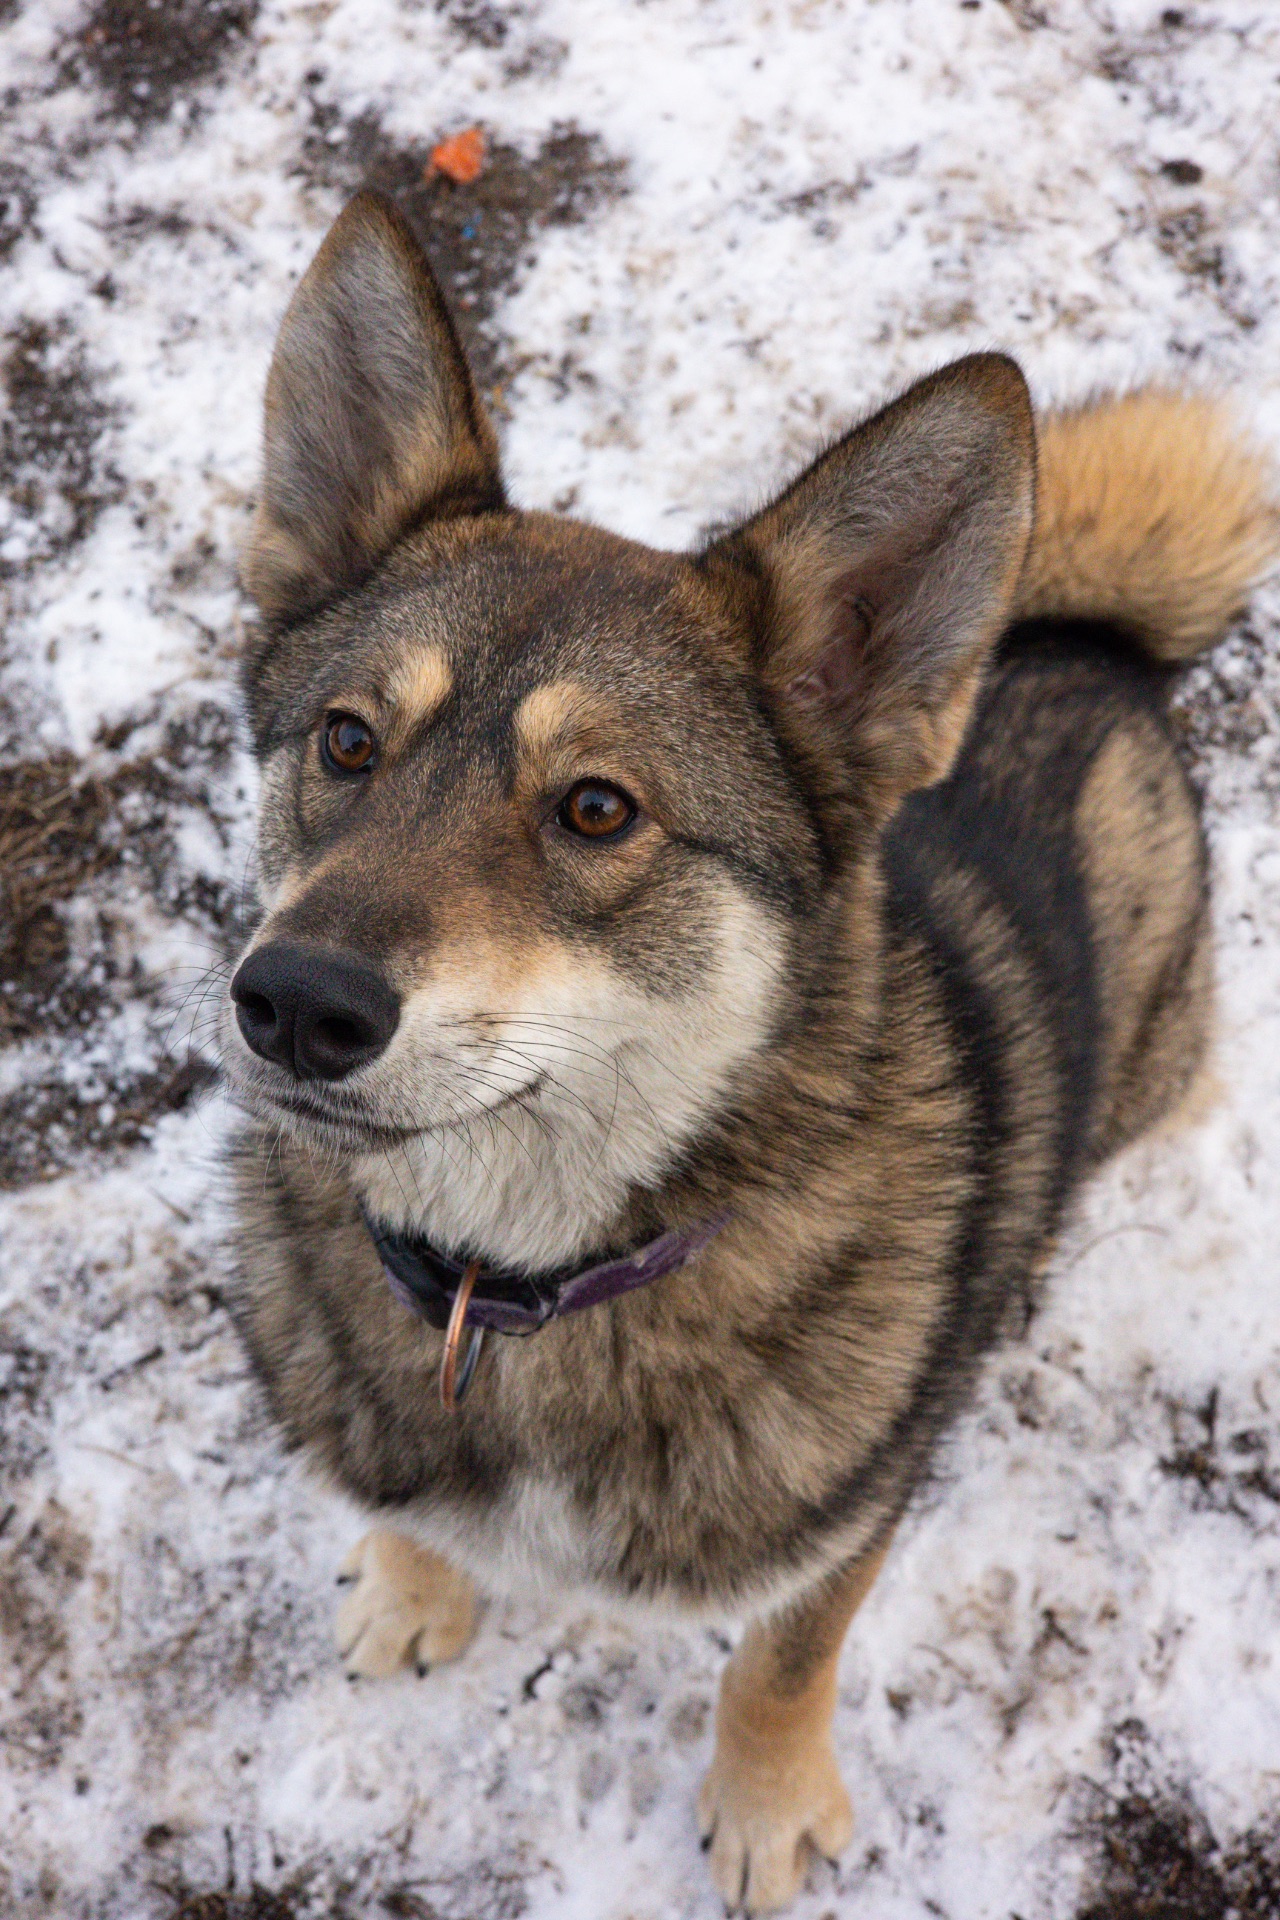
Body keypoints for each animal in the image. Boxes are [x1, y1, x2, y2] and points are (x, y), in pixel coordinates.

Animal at [217, 194, 1274, 1920]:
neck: (525, 1290)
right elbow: (409, 1521)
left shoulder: (851, 1516)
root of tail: (1080, 639)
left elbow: (780, 1664)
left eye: (597, 808)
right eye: (346, 742)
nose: (294, 1001)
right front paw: (415, 1587)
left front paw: (767, 1810)